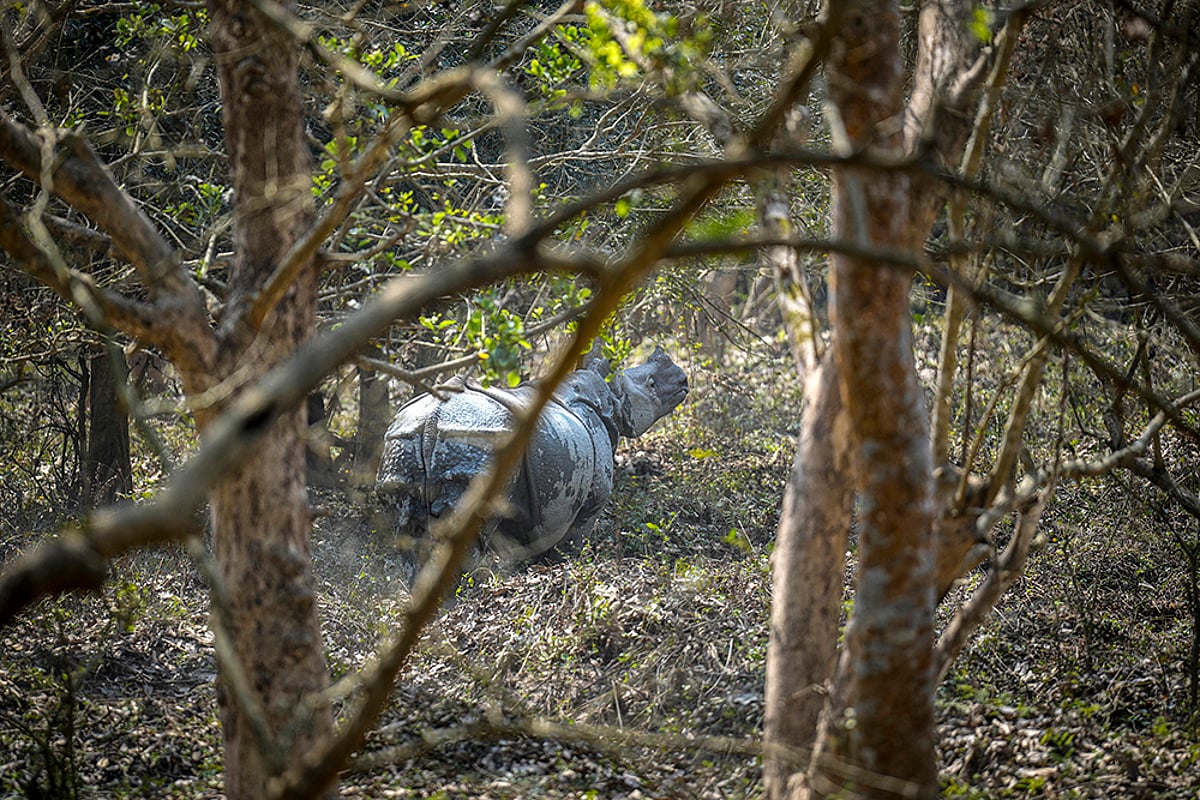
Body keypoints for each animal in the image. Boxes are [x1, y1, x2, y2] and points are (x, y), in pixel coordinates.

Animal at [376, 347, 688, 577]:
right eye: (651, 385)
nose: (684, 380)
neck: (611, 399)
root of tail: (432, 419)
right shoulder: (590, 499)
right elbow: (572, 539)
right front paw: (564, 567)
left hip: (403, 438)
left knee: (406, 524)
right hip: (475, 436)